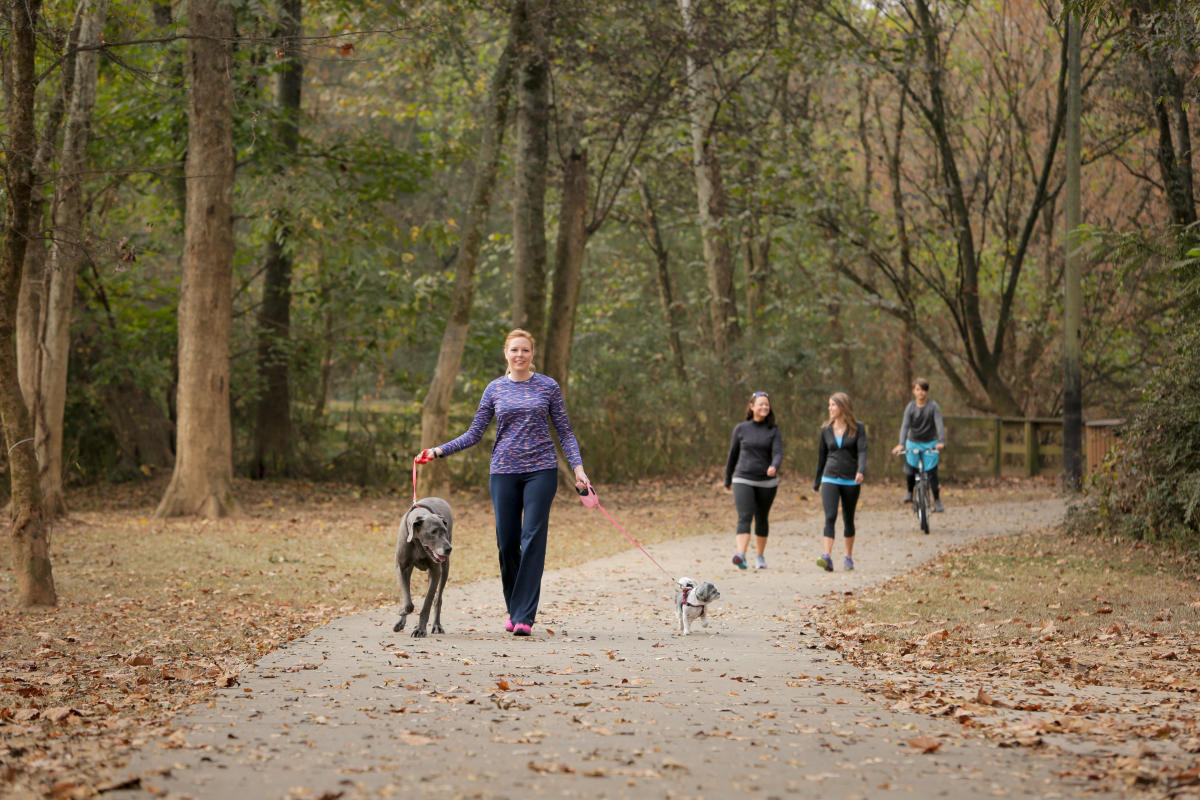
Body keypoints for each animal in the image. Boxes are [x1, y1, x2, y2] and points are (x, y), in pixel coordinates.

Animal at [393, 496, 453, 642]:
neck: (417, 542)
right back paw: (400, 622)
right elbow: (408, 602)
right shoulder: (401, 568)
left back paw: (437, 625)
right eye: (433, 532)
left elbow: (427, 602)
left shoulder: (436, 571)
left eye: (444, 530)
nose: (449, 549)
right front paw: (401, 611)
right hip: (409, 570)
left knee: (438, 599)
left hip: (445, 568)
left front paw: (420, 630)